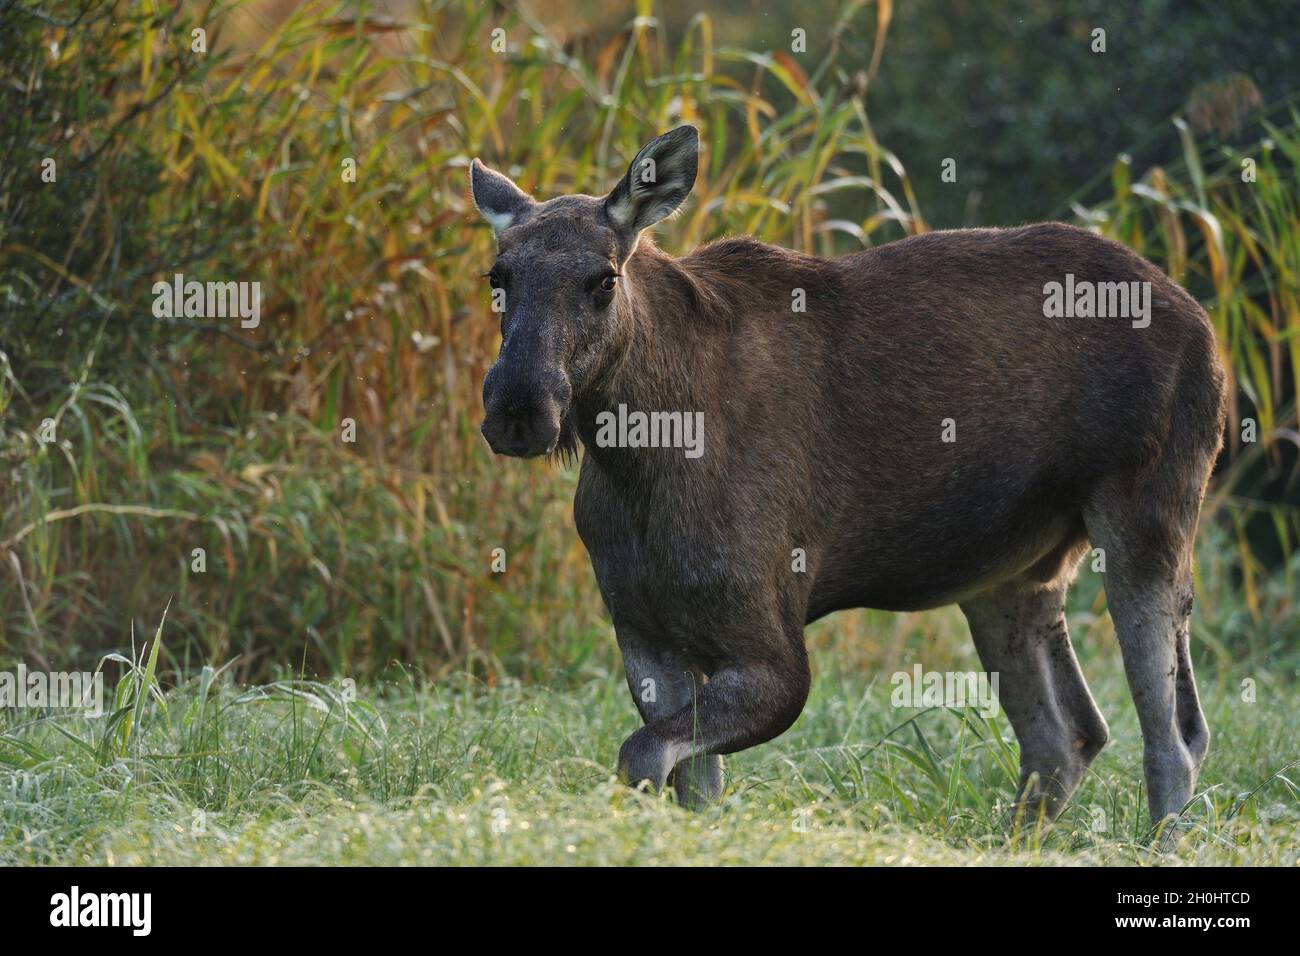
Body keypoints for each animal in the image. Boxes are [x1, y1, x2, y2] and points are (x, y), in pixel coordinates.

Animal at [469, 125, 1227, 832]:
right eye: (497, 277)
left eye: (604, 278)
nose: (518, 407)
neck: (638, 463)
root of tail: (1205, 323)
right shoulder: (643, 634)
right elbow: (691, 783)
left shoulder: (776, 653)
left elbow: (643, 756)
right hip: (1011, 576)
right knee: (1067, 735)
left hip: (1148, 514)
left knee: (1176, 737)